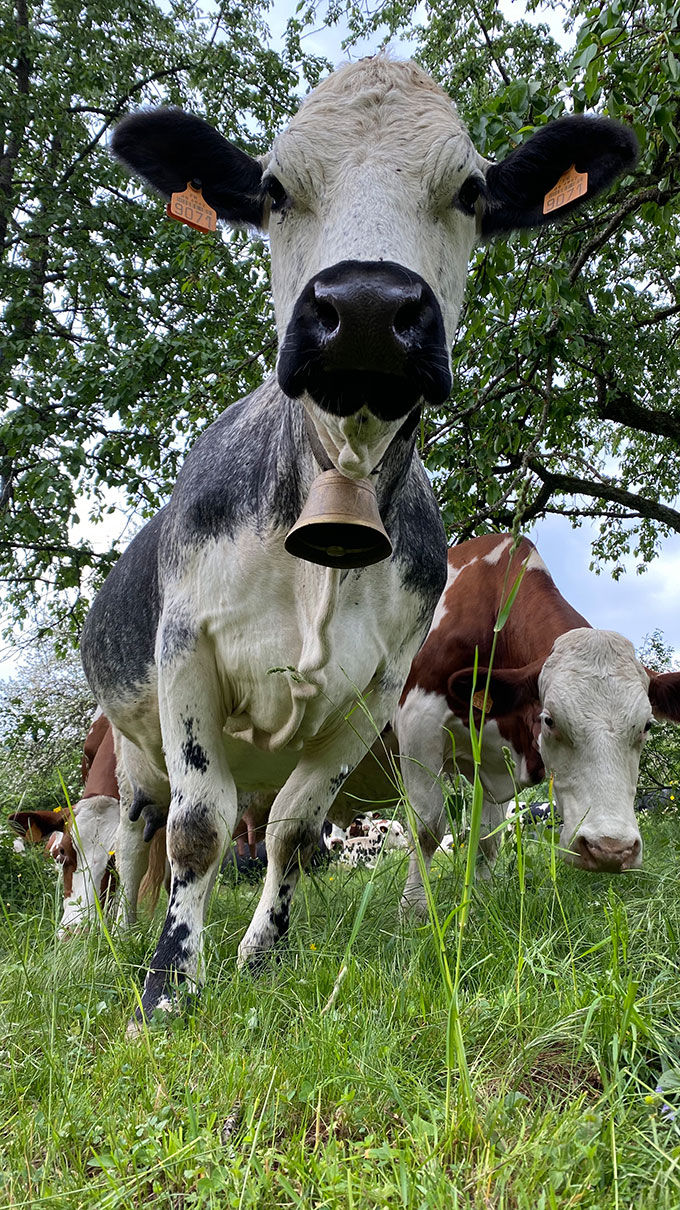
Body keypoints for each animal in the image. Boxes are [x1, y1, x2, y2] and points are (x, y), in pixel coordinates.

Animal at [80, 57, 637, 1026]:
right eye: (272, 189)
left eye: (471, 190)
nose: (370, 305)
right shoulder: (188, 653)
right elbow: (199, 829)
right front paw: (168, 984)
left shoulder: (377, 695)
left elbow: (301, 829)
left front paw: (263, 955)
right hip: (131, 744)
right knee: (140, 835)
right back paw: (117, 940)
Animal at [396, 533, 680, 916]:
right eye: (550, 720)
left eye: (647, 725)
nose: (610, 849)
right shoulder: (417, 720)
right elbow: (426, 828)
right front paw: (414, 911)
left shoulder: (494, 759)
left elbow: (487, 838)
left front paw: (484, 902)